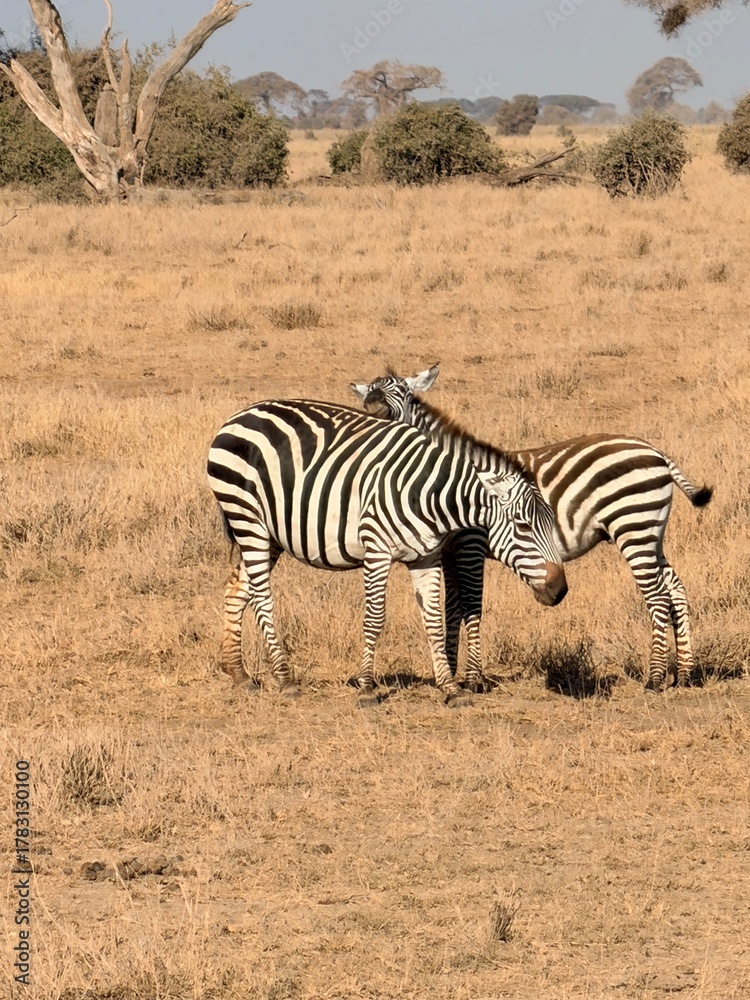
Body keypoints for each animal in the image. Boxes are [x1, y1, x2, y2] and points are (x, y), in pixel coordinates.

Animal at [207, 398, 567, 707]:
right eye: (523, 526)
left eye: (552, 523)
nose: (560, 590)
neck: (430, 494)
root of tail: (241, 415)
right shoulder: (376, 549)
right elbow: (375, 617)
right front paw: (366, 688)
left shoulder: (426, 557)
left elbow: (434, 620)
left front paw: (450, 688)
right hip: (247, 517)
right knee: (262, 596)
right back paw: (284, 679)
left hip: (271, 534)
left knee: (238, 589)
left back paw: (240, 674)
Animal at [350, 365, 713, 692]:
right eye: (370, 394)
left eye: (404, 393)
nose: (374, 408)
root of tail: (656, 453)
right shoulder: (449, 552)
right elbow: (450, 611)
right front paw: (450, 672)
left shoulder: (470, 546)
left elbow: (470, 606)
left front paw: (472, 679)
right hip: (650, 533)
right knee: (675, 588)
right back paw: (684, 674)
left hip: (633, 529)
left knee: (657, 596)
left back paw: (655, 679)